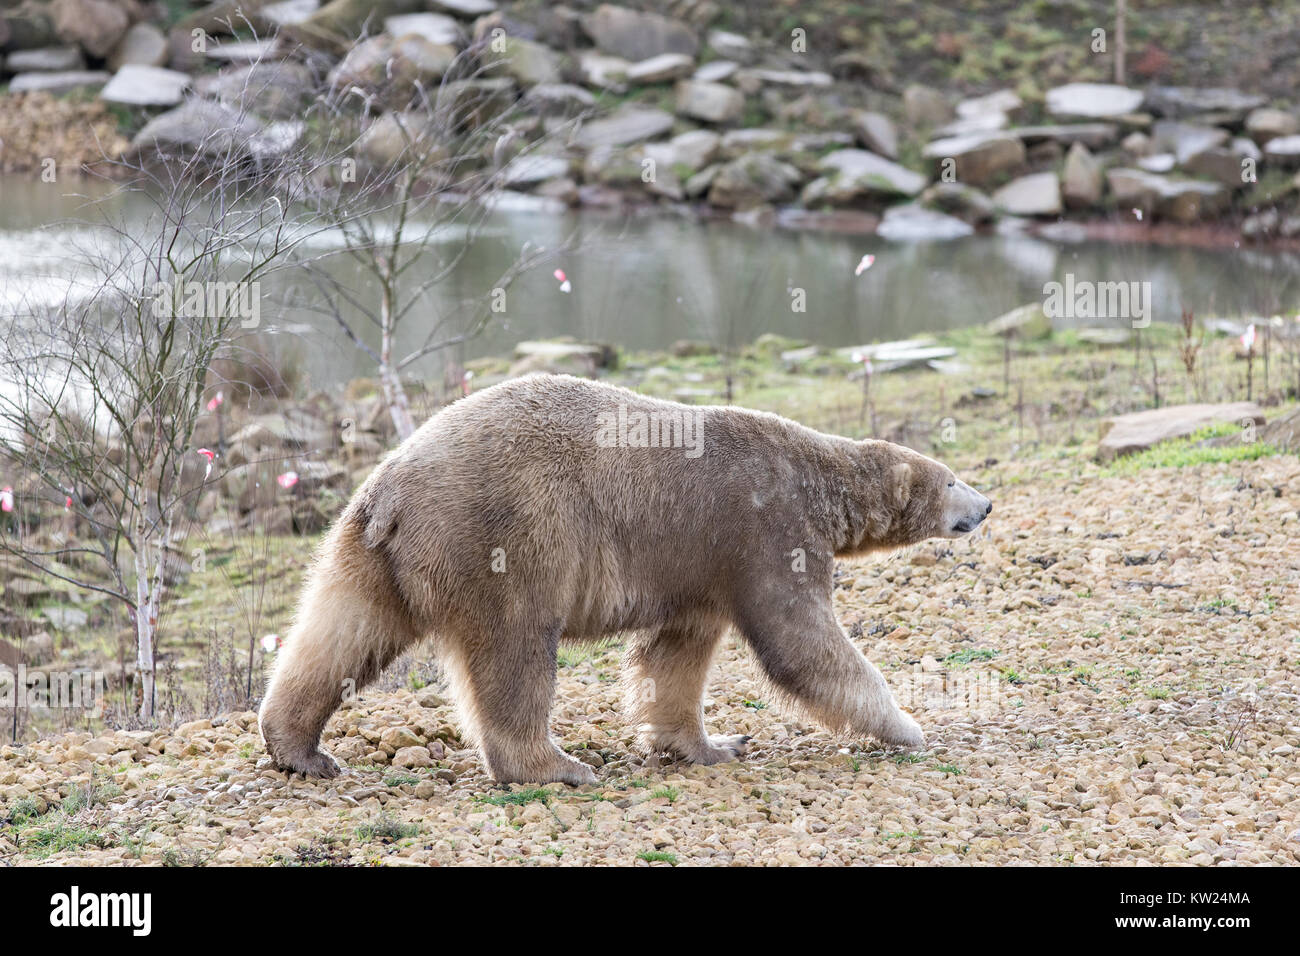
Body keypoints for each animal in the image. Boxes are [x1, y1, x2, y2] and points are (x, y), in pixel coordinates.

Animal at [259, 373, 992, 785]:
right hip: (508, 535)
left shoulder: (701, 566)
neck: (815, 475)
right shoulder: (765, 530)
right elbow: (801, 643)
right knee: (515, 651)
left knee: (341, 630)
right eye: (952, 478)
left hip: (370, 550)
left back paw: (299, 747)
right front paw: (907, 727)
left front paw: (711, 743)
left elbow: (674, 656)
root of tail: (393, 490)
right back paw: (556, 766)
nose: (984, 505)